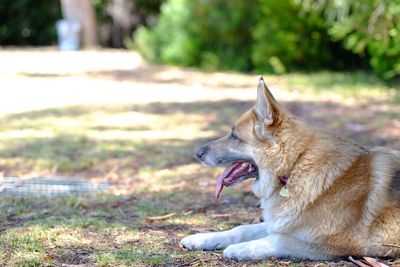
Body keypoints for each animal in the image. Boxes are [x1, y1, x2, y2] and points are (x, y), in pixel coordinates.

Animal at [180, 77, 400, 262]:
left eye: (234, 136)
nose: (197, 153)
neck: (294, 165)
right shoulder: (283, 223)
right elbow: (241, 228)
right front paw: (202, 238)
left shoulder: (334, 243)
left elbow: (278, 239)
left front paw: (241, 248)